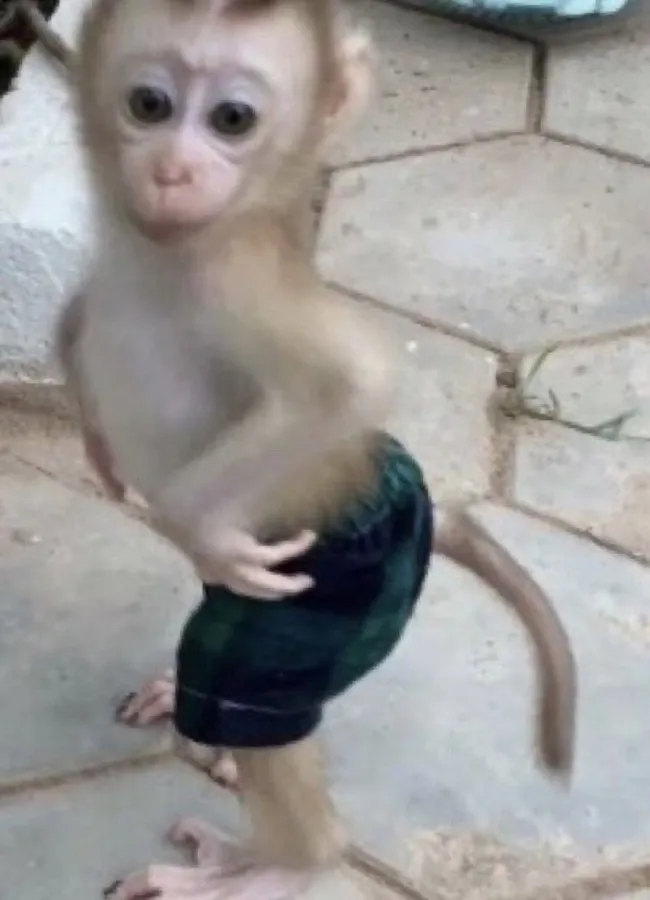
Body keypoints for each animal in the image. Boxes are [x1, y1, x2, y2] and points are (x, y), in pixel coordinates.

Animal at [53, 1, 576, 899]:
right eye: (149, 104)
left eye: (233, 119)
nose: (173, 172)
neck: (162, 251)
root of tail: (409, 492)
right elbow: (80, 314)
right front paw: (90, 411)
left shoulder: (240, 280)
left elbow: (350, 384)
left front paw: (196, 521)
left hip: (339, 596)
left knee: (255, 705)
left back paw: (281, 863)